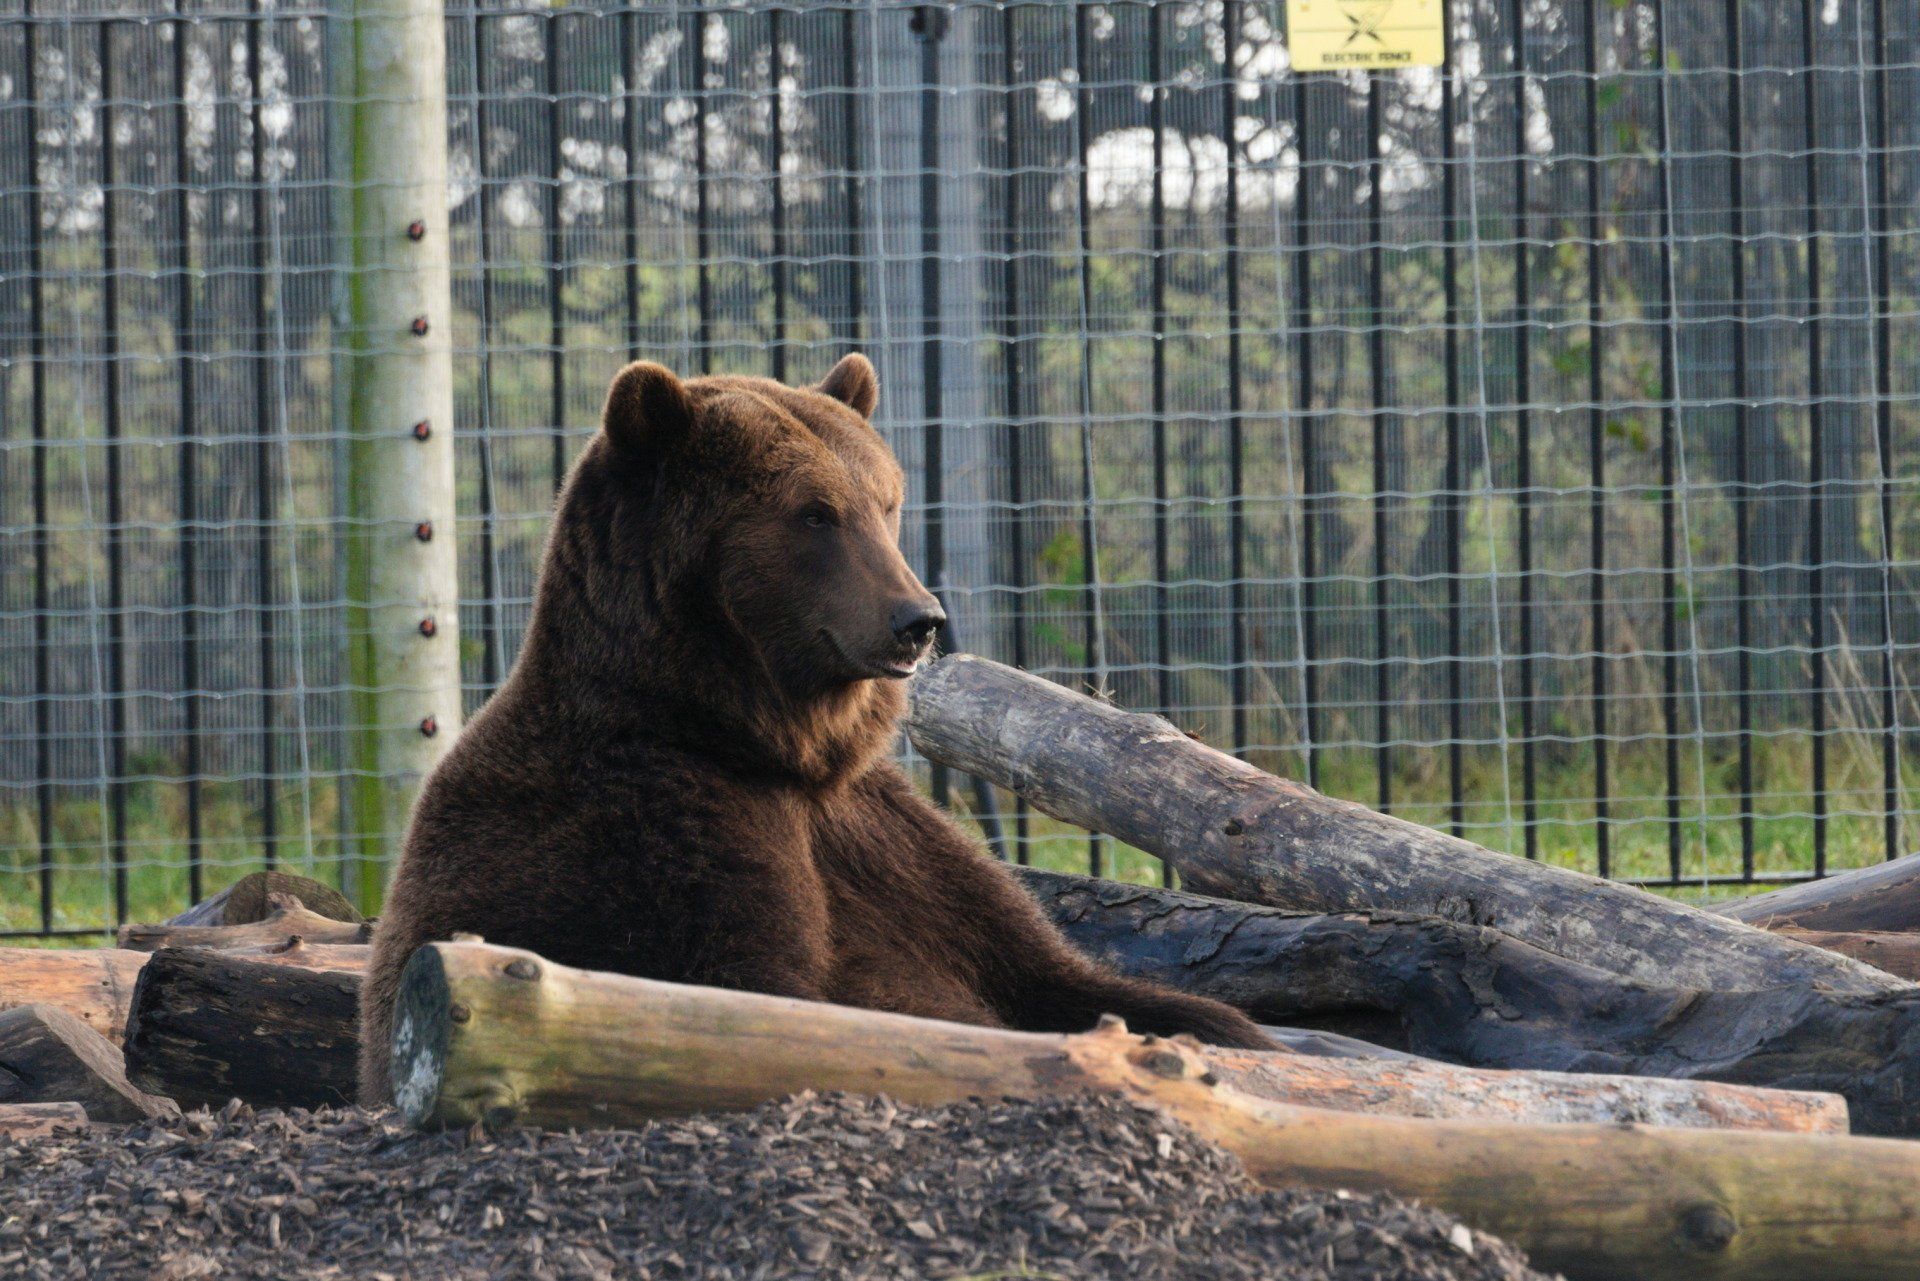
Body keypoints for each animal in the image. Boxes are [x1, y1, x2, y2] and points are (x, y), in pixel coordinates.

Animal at [358, 353, 1271, 1103]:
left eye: (885, 499)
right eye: (814, 513)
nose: (918, 620)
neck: (764, 740)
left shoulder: (886, 840)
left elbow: (1046, 969)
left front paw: (1222, 1025)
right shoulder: (664, 830)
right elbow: (772, 999)